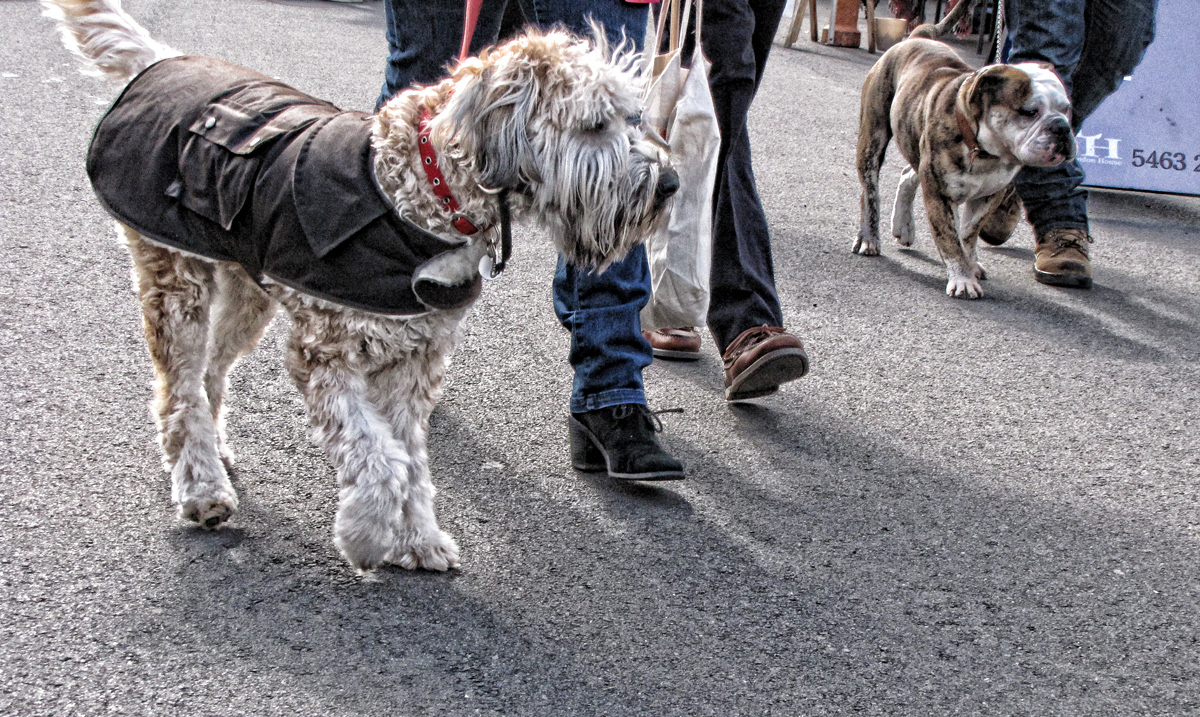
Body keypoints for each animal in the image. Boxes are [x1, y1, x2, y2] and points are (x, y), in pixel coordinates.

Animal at [46, 0, 681, 573]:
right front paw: (367, 536)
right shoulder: (325, 354)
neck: (426, 192)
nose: (670, 183)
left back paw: (213, 452)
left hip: (246, 291)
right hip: (176, 279)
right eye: (594, 124)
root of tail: (162, 60)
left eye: (633, 117)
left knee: (209, 374)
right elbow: (380, 457)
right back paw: (202, 486)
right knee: (176, 390)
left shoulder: (414, 358)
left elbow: (411, 461)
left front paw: (419, 538)